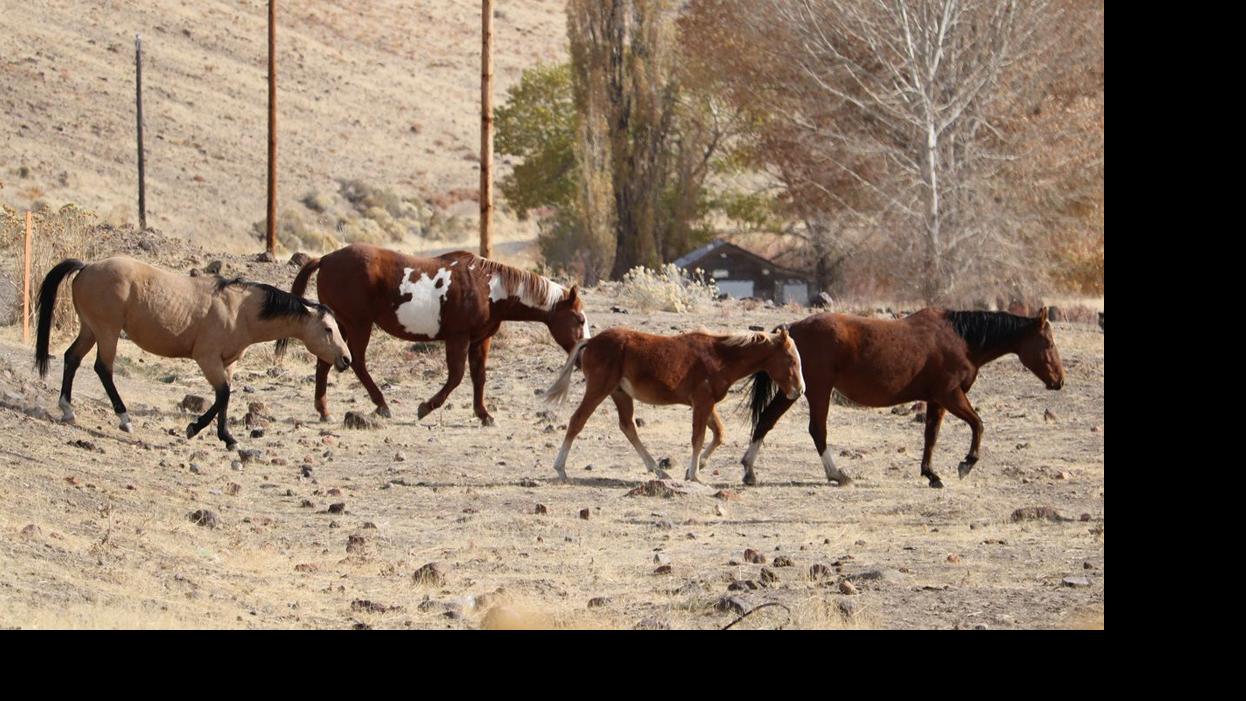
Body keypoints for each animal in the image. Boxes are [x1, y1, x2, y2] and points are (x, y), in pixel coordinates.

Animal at [34, 257, 352, 449]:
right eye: (328, 328)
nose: (346, 359)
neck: (240, 310)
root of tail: (86, 267)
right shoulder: (207, 359)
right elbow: (222, 394)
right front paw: (194, 428)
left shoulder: (228, 363)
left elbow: (226, 396)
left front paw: (228, 438)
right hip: (107, 332)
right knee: (103, 368)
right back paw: (125, 419)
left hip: (90, 330)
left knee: (72, 358)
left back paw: (67, 409)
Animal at [285, 242, 589, 426]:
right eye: (579, 318)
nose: (582, 356)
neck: (488, 287)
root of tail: (326, 259)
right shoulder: (458, 338)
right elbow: (456, 377)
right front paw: (425, 407)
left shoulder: (480, 340)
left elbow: (479, 377)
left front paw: (484, 414)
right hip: (357, 324)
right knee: (357, 361)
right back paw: (381, 404)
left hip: (340, 326)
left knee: (327, 360)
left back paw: (324, 411)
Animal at [543, 327, 805, 482]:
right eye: (790, 359)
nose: (800, 390)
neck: (720, 356)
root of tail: (591, 341)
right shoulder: (702, 402)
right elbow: (698, 438)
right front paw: (695, 475)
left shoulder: (707, 404)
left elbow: (719, 433)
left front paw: (695, 468)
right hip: (598, 390)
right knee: (577, 421)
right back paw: (560, 469)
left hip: (620, 394)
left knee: (628, 427)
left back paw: (657, 470)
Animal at [743, 308, 1064, 488]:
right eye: (1048, 342)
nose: (1059, 381)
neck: (960, 340)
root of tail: (793, 329)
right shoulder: (951, 395)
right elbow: (978, 424)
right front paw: (966, 464)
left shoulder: (936, 401)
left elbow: (931, 436)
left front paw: (931, 474)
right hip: (818, 391)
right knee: (817, 430)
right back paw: (837, 474)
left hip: (793, 391)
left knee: (767, 420)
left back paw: (749, 470)